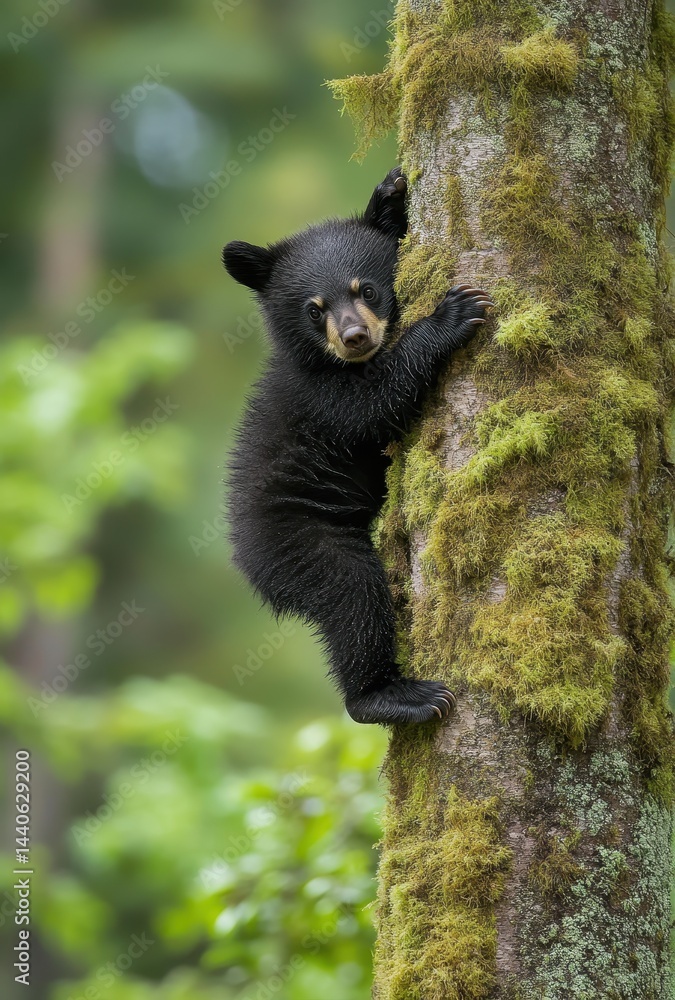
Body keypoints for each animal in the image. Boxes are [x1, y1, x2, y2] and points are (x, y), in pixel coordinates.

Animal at [222, 167, 492, 724]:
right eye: (314, 308)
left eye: (365, 288)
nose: (353, 337)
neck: (329, 361)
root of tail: (245, 562)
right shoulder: (319, 397)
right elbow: (375, 402)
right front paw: (451, 316)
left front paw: (390, 193)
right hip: (298, 543)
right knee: (353, 597)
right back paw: (389, 696)